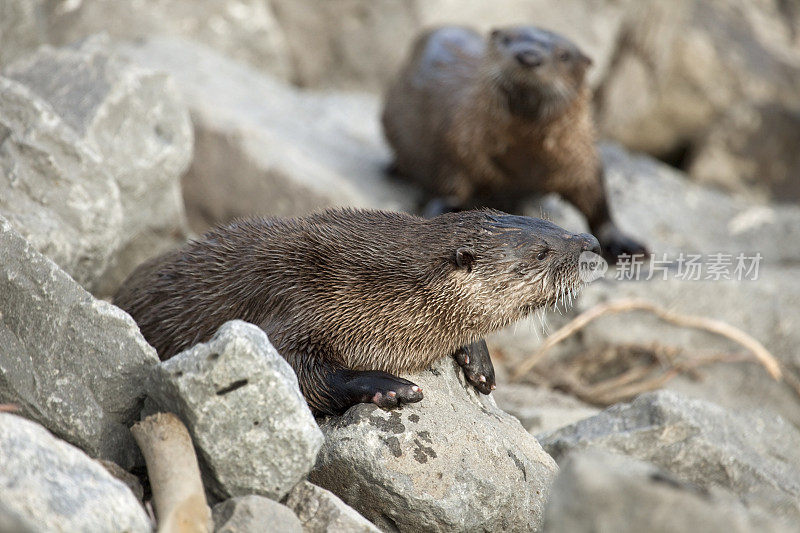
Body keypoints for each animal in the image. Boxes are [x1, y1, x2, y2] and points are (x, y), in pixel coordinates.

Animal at [115, 208, 596, 416]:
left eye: (552, 223)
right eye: (541, 251)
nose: (588, 241)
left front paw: (478, 363)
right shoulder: (298, 299)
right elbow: (295, 368)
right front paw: (389, 387)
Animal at [378, 27, 648, 260]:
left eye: (563, 55)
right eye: (508, 40)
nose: (529, 56)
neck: (525, 163)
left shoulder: (581, 157)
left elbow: (597, 202)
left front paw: (623, 243)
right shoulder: (457, 149)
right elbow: (448, 190)